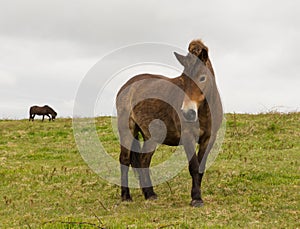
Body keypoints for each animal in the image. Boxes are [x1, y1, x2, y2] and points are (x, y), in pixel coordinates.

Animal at [116, 39, 224, 208]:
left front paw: (198, 196)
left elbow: (201, 167)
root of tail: (127, 85)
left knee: (144, 160)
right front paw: (196, 199)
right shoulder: (188, 137)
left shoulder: (209, 138)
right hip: (127, 131)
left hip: (151, 137)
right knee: (125, 161)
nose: (187, 112)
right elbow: (193, 167)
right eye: (183, 79)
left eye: (202, 78)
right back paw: (126, 196)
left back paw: (150, 194)